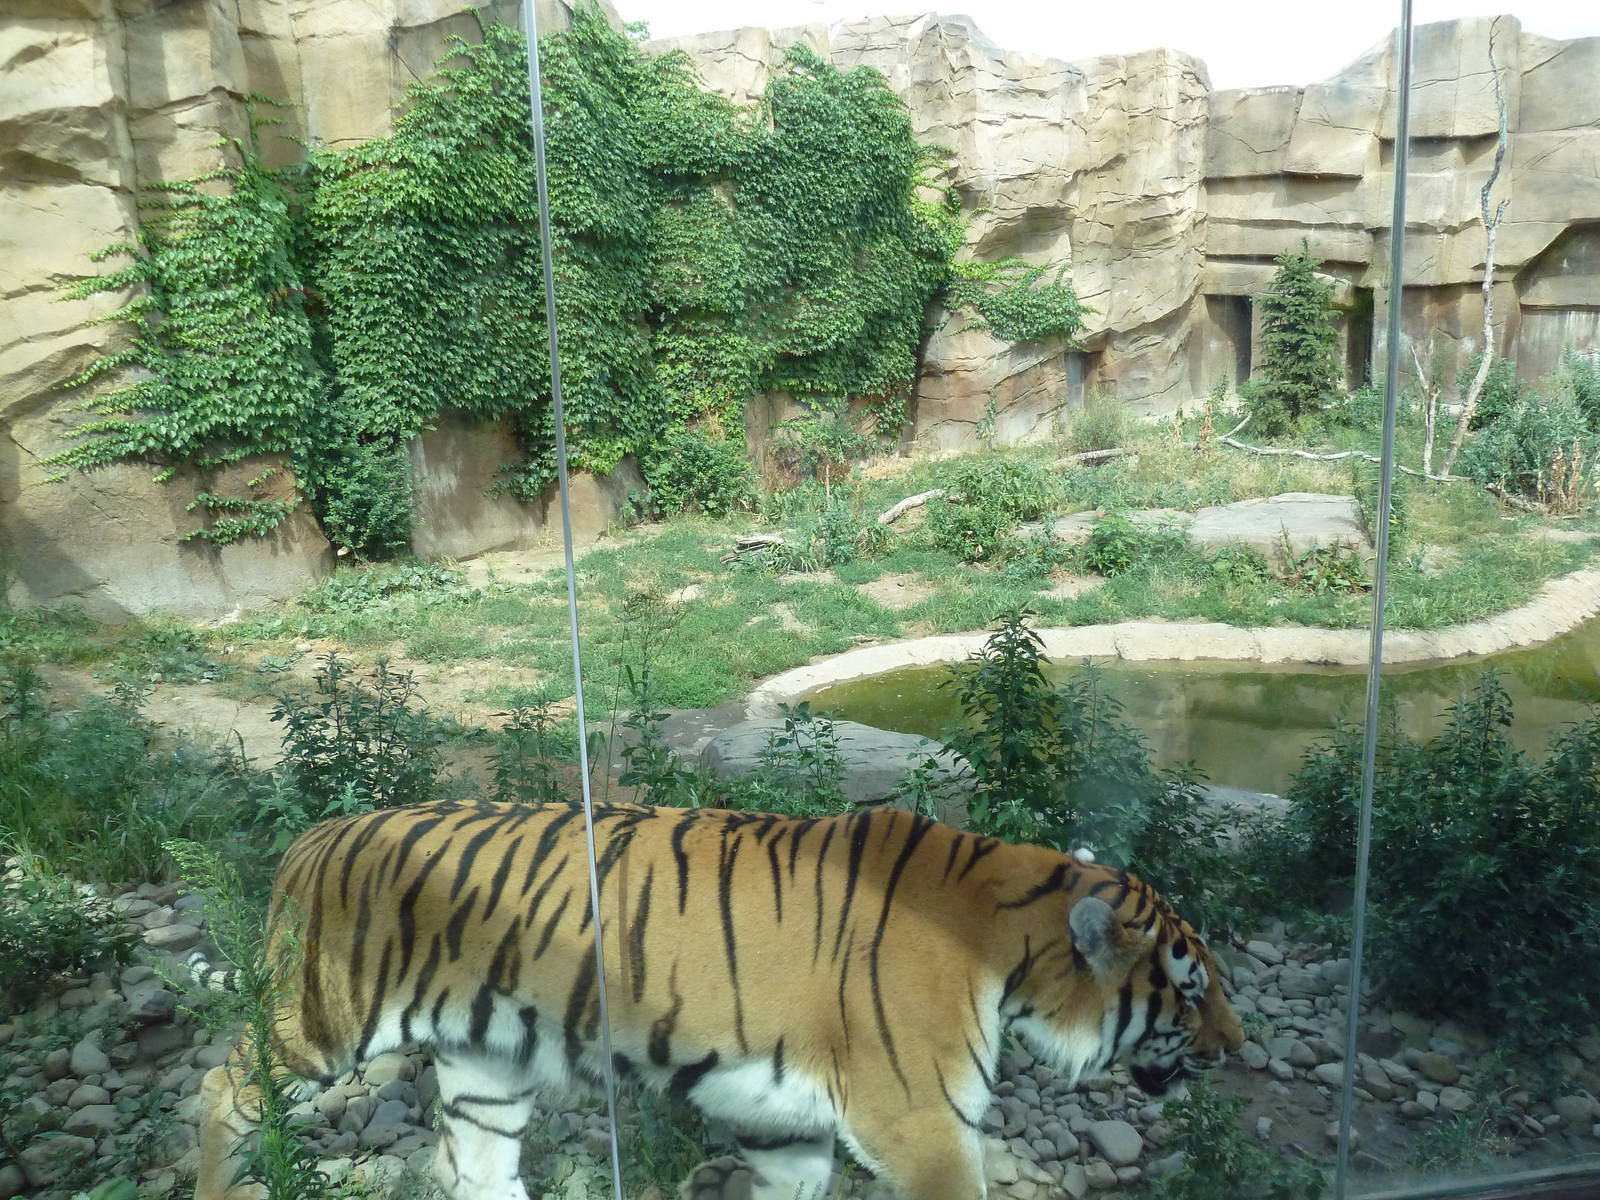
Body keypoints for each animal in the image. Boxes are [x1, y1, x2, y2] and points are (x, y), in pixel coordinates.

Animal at [195, 799, 1242, 1200]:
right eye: (1191, 994)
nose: (1236, 1047)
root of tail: (311, 840)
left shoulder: (786, 1123)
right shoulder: (923, 1128)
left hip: (487, 1065)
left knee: (472, 1167)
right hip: (319, 1024)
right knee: (223, 1087)